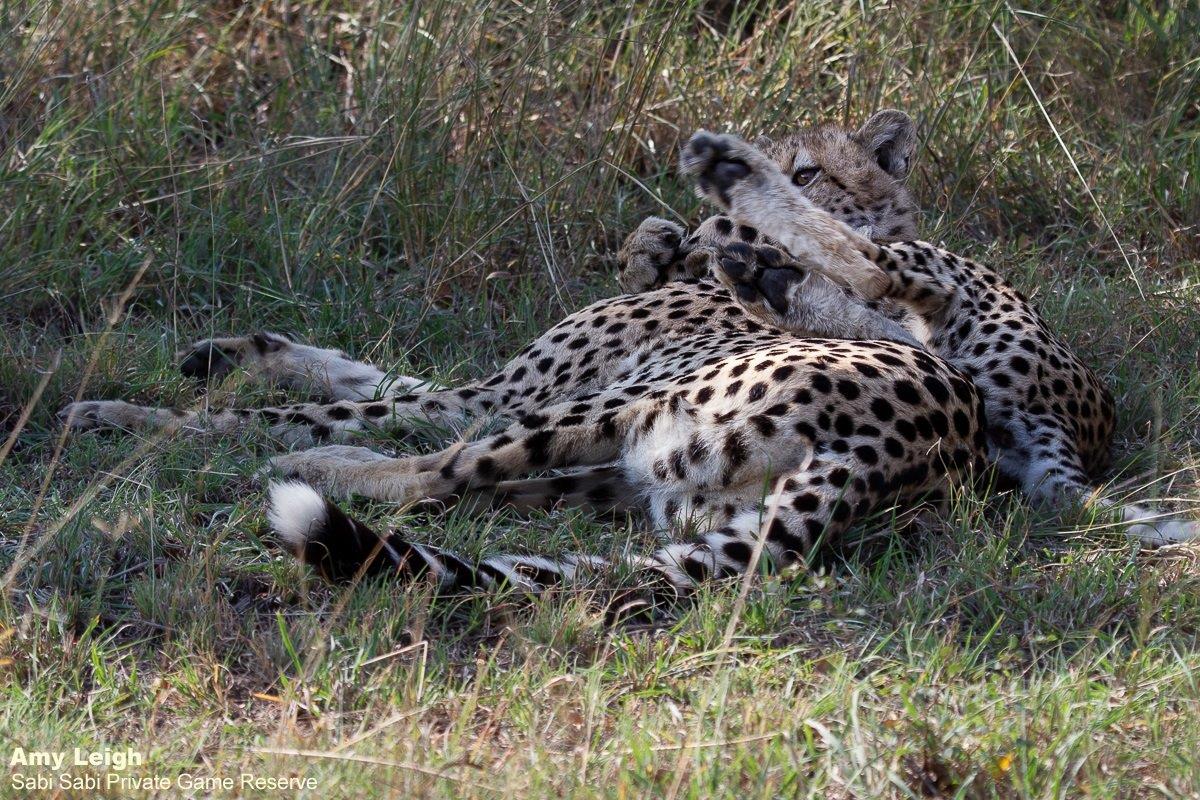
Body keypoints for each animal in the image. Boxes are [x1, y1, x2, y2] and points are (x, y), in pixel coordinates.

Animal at [57, 110, 1195, 615]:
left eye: (817, 164)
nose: (781, 181)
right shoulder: (482, 387)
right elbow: (354, 370)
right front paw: (230, 351)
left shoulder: (489, 394)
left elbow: (333, 408)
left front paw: (121, 415)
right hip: (634, 472)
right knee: (466, 481)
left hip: (613, 416)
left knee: (437, 474)